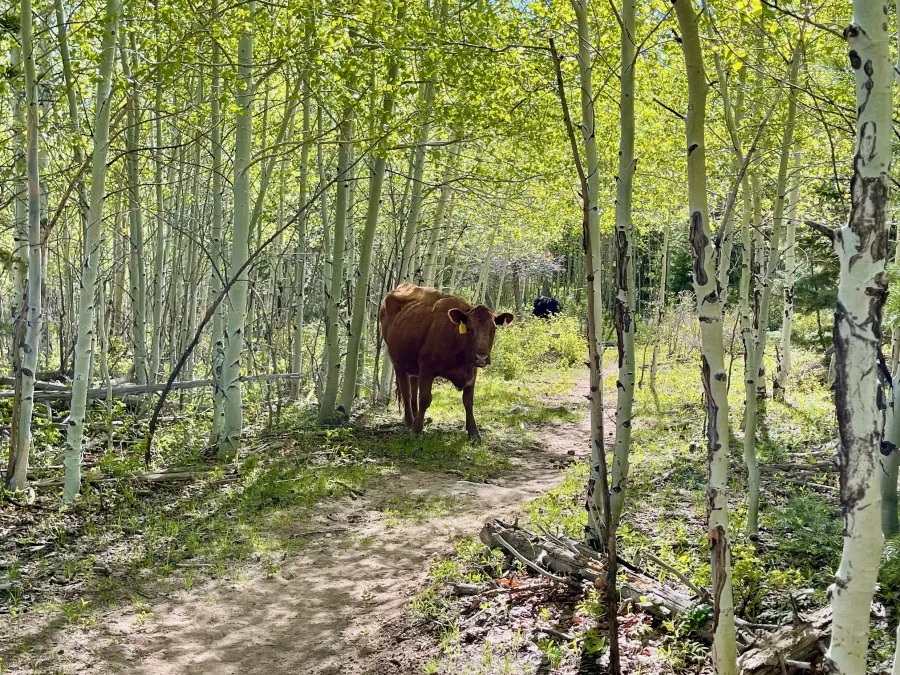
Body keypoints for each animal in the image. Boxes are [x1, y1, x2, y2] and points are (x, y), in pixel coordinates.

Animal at [380, 283, 514, 441]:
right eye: (469, 328)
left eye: (493, 328)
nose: (481, 357)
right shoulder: (427, 368)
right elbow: (425, 398)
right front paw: (417, 430)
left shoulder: (472, 373)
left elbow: (468, 402)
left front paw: (474, 432)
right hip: (397, 362)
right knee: (406, 392)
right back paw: (409, 420)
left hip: (413, 367)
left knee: (413, 388)